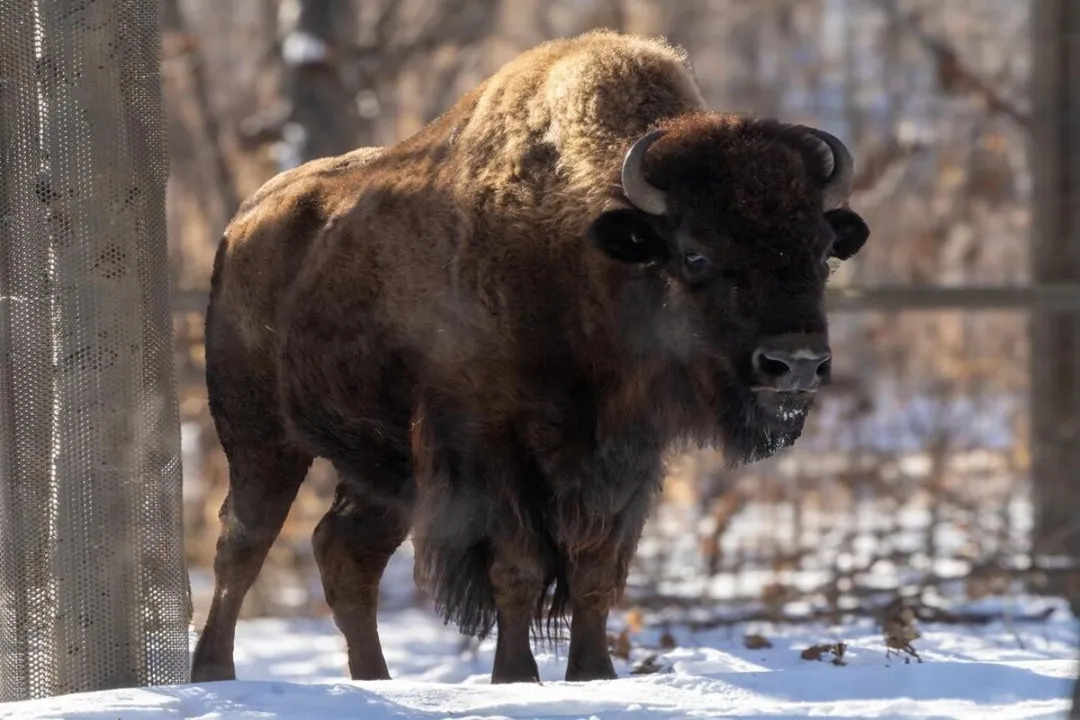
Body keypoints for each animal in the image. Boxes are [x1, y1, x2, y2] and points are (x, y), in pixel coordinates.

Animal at [191, 30, 870, 685]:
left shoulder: (626, 459)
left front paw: (594, 674)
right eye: (695, 253)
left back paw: (374, 679)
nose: (796, 363)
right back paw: (214, 671)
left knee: (345, 552)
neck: (586, 257)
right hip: (260, 437)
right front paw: (516, 678)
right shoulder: (494, 450)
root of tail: (242, 224)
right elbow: (516, 568)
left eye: (822, 251)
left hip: (381, 468)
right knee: (243, 542)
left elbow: (597, 573)